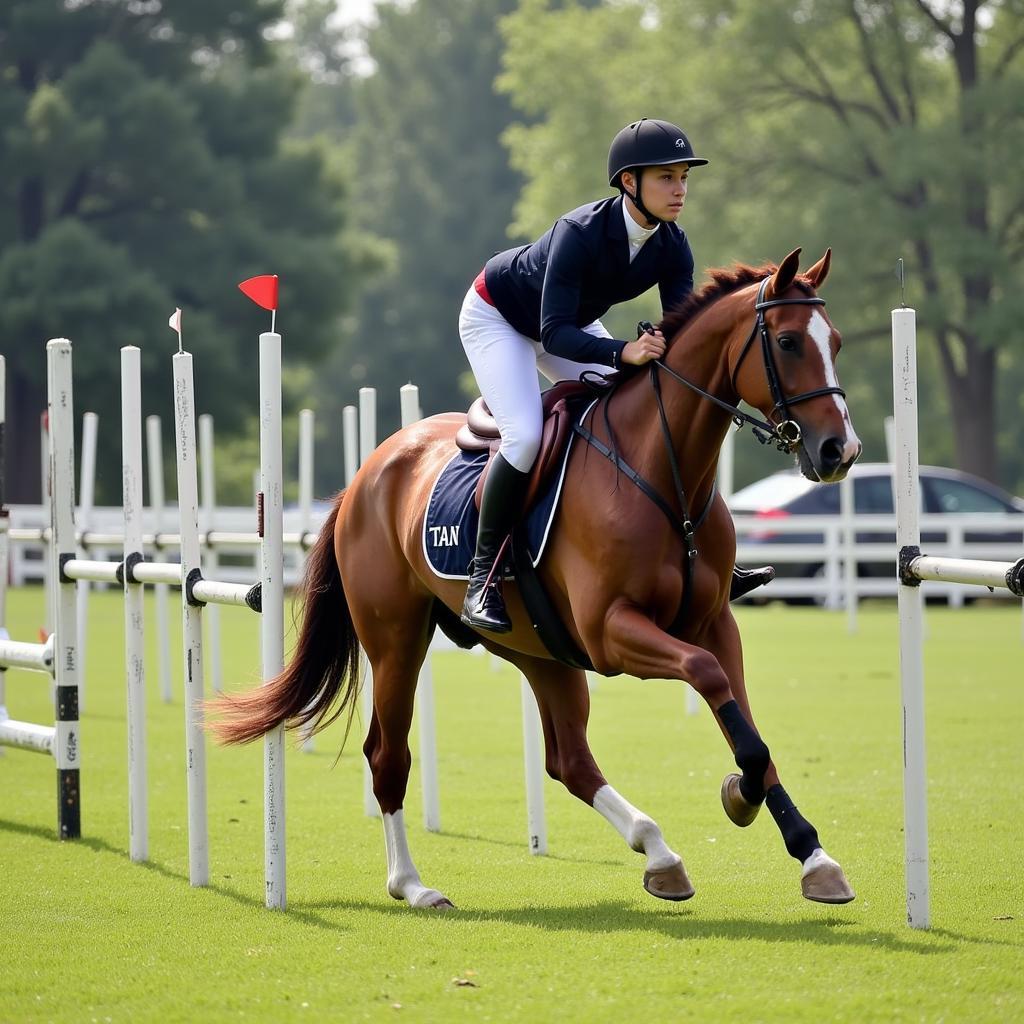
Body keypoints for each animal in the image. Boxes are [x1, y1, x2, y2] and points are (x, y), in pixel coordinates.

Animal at [209, 247, 864, 913]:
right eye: (787, 341)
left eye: (835, 341)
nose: (840, 451)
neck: (664, 472)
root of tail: (368, 473)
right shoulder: (613, 631)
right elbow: (710, 682)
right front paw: (741, 797)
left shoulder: (713, 623)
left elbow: (751, 733)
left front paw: (811, 855)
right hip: (397, 642)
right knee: (387, 753)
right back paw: (413, 885)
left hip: (541, 651)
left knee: (568, 759)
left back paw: (659, 854)